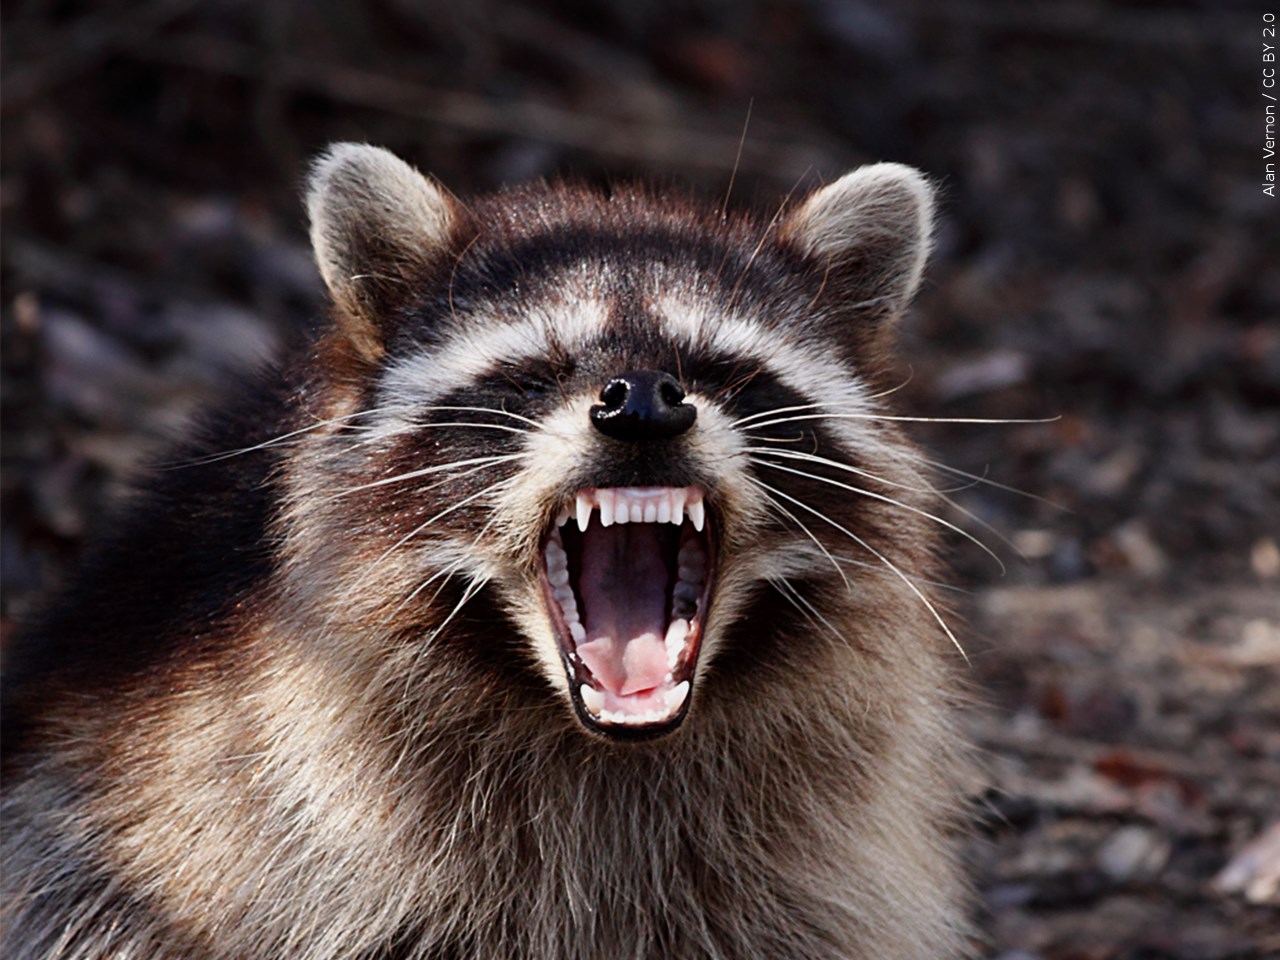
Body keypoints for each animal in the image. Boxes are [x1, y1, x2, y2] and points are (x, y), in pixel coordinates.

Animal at [1, 144, 971, 959]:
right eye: (533, 375)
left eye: (725, 371)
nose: (643, 402)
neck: (609, 744)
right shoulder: (272, 827)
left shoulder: (804, 870)